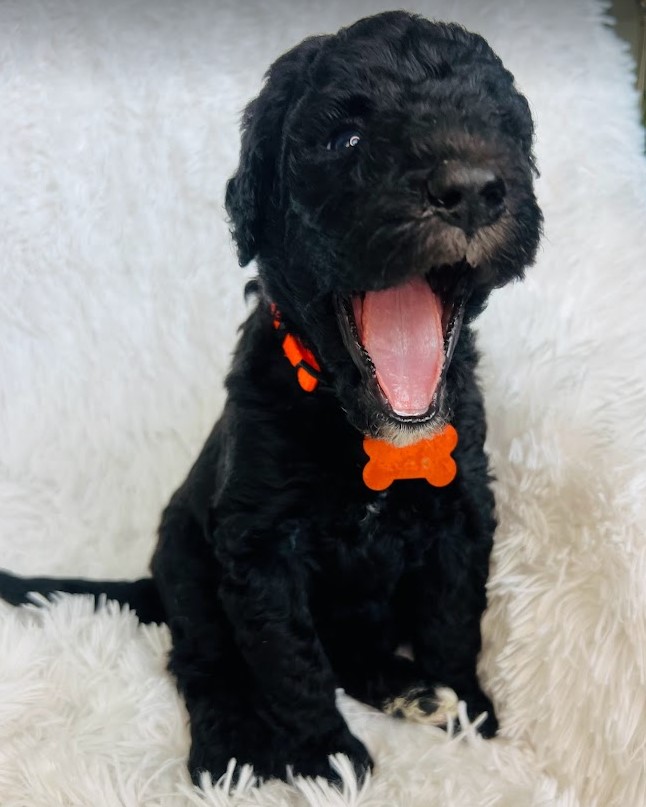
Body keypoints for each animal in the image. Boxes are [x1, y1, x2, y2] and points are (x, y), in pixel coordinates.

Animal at [0, 9, 544, 784]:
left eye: (497, 125)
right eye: (346, 139)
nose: (470, 188)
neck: (368, 430)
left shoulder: (461, 510)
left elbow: (452, 619)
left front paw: (466, 707)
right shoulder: (259, 547)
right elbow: (290, 661)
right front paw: (326, 757)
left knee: (349, 653)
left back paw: (411, 691)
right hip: (188, 562)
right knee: (203, 660)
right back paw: (224, 749)